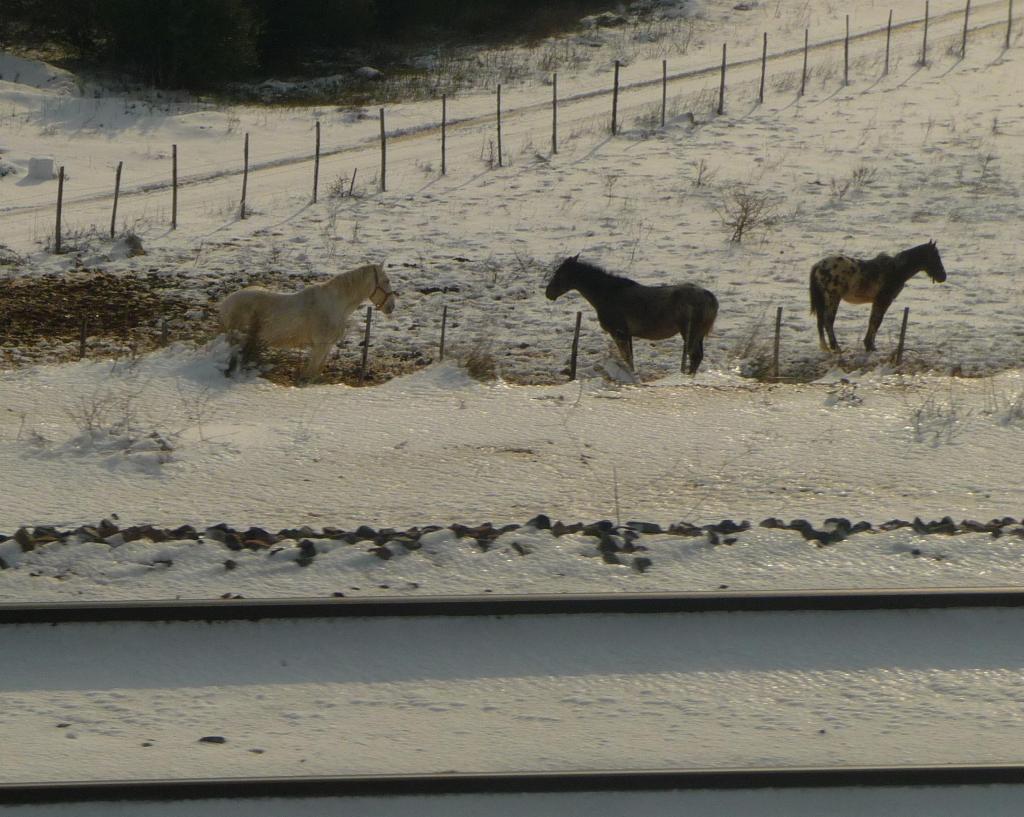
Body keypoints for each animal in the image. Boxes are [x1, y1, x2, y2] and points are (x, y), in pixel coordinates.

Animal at [220, 262, 395, 380]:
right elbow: (308, 376)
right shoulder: (319, 347)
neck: (334, 303)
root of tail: (226, 302)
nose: (391, 306)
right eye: (386, 280)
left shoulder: (326, 347)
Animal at [544, 255, 720, 376]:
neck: (606, 295)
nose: (549, 293)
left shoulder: (619, 332)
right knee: (697, 357)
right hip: (698, 334)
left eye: (560, 274)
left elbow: (627, 357)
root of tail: (711, 298)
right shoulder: (626, 334)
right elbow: (629, 357)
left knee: (694, 356)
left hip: (690, 332)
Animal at [806, 236, 942, 352]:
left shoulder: (877, 301)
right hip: (833, 298)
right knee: (828, 321)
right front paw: (870, 345)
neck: (896, 270)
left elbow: (873, 320)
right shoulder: (883, 300)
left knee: (821, 321)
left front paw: (869, 345)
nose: (943, 276)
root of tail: (818, 265)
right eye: (936, 257)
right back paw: (836, 347)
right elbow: (877, 321)